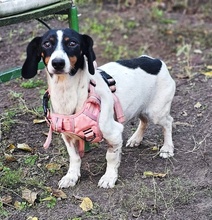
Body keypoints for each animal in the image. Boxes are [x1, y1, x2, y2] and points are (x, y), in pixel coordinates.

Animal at [22, 27, 176, 189]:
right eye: (46, 44)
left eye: (72, 43)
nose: (58, 63)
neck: (67, 93)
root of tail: (156, 60)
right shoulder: (68, 137)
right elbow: (74, 157)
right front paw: (71, 177)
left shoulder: (114, 133)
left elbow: (111, 157)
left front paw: (109, 177)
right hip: (140, 107)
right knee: (144, 120)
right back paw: (136, 139)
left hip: (157, 112)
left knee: (168, 123)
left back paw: (167, 148)